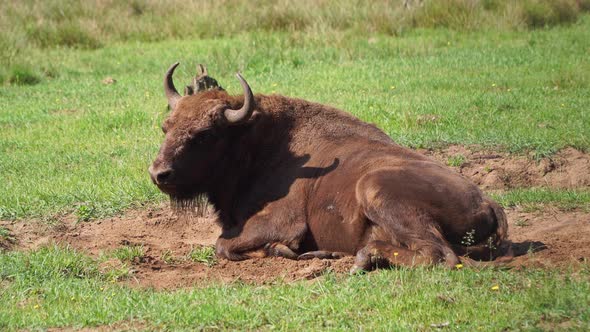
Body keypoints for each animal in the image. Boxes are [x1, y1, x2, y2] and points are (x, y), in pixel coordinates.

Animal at [149, 63, 512, 272]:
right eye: (166, 126)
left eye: (205, 135)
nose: (159, 174)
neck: (253, 139)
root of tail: (489, 202)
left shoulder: (280, 221)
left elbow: (223, 244)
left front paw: (281, 250)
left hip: (374, 188)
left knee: (440, 255)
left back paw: (363, 257)